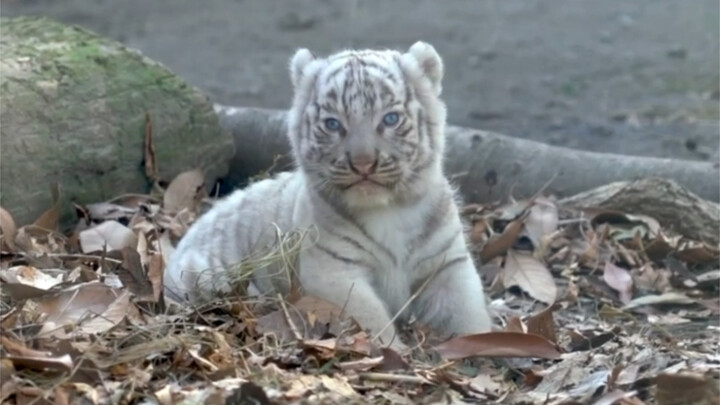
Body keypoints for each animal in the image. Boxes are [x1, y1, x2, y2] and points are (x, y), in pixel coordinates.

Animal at [163, 41, 493, 351]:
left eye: (390, 119)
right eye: (333, 124)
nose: (363, 163)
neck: (389, 211)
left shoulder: (448, 264)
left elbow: (470, 314)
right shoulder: (333, 270)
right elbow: (370, 315)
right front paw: (396, 352)